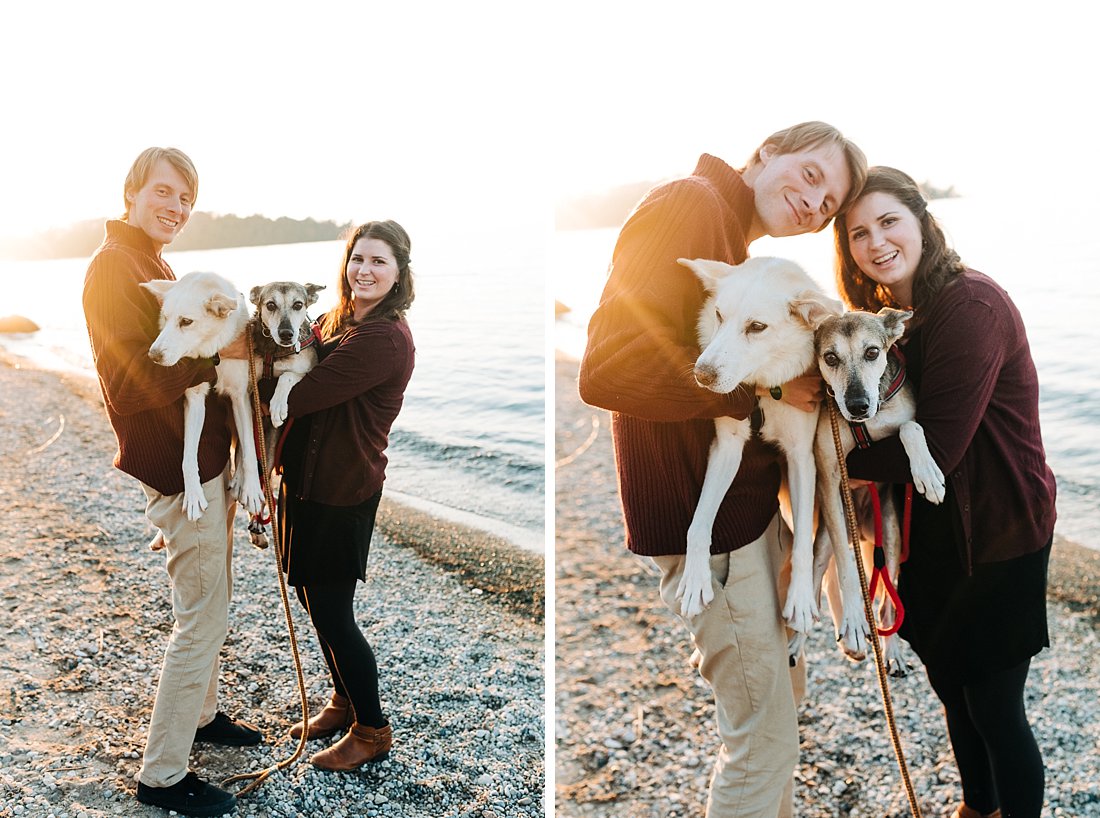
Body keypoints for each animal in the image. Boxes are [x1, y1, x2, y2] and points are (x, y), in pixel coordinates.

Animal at [673, 255, 836, 646]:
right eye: (719, 314)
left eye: (757, 327)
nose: (701, 376)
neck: (765, 386)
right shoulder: (726, 447)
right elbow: (699, 523)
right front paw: (695, 579)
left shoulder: (801, 457)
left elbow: (804, 543)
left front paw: (800, 599)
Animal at [809, 307, 946, 677]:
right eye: (830, 357)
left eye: (872, 352)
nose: (857, 405)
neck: (864, 427)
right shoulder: (829, 470)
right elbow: (845, 569)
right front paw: (856, 623)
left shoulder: (905, 418)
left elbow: (911, 426)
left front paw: (928, 474)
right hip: (827, 535)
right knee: (816, 580)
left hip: (894, 536)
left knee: (887, 601)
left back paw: (893, 652)